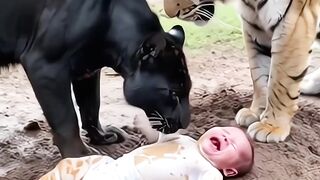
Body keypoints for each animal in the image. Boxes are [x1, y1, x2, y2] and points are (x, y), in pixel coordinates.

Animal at [162, 0, 320, 143]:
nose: (171, 14)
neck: (252, 2)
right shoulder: (254, 25)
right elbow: (259, 75)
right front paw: (256, 112)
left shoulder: (294, 21)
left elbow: (280, 82)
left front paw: (272, 126)